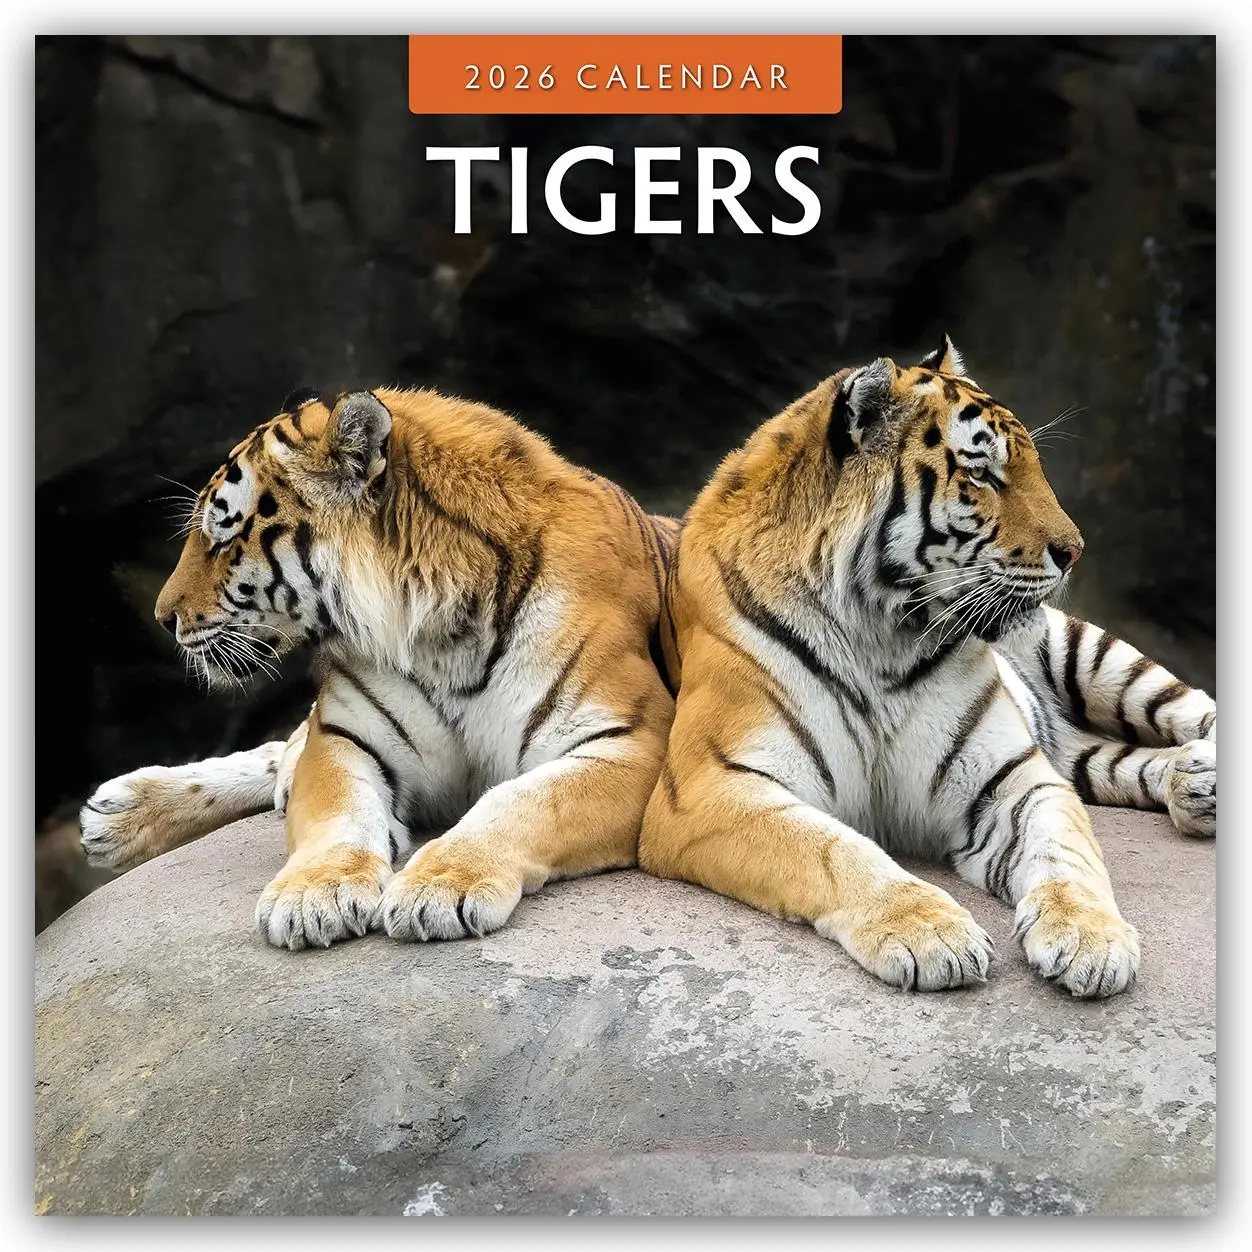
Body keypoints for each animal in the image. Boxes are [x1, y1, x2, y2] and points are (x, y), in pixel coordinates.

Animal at [79, 386, 678, 949]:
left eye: (223, 537)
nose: (164, 618)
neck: (442, 632)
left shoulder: (633, 742)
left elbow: (521, 802)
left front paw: (439, 887)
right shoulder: (346, 735)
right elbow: (338, 812)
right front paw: (314, 896)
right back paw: (119, 812)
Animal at [639, 336, 1215, 999]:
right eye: (981, 473)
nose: (1074, 552)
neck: (880, 636)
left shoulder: (1013, 777)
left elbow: (1066, 851)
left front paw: (1090, 938)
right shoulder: (710, 785)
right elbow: (832, 851)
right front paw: (933, 934)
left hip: (1095, 655)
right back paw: (1192, 784)